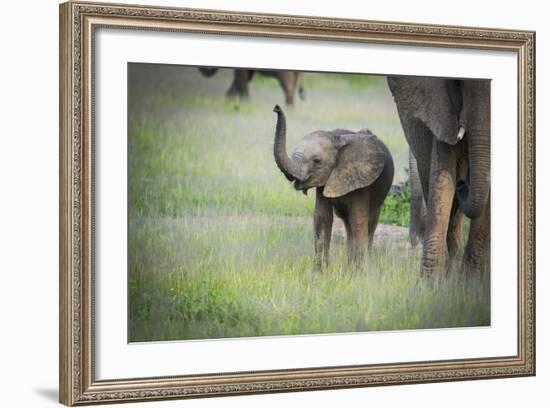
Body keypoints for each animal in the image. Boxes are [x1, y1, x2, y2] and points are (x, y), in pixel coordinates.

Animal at [272, 105, 394, 268]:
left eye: (317, 161)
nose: (276, 108)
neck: (336, 138)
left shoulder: (362, 181)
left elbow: (358, 220)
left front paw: (359, 271)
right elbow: (322, 217)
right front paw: (320, 270)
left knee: (370, 222)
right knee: (347, 223)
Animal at [388, 75, 492, 278]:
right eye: (458, 83)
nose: (462, 183)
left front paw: (471, 283)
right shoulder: (441, 112)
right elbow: (442, 178)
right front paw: (430, 284)